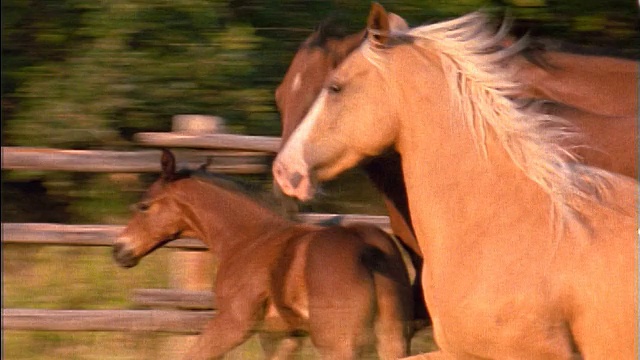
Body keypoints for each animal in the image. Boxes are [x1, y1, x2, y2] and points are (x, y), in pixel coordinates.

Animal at [114, 149, 416, 360]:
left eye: (144, 205)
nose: (119, 250)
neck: (247, 239)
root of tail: (367, 248)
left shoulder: (234, 323)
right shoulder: (283, 336)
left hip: (338, 343)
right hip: (393, 337)